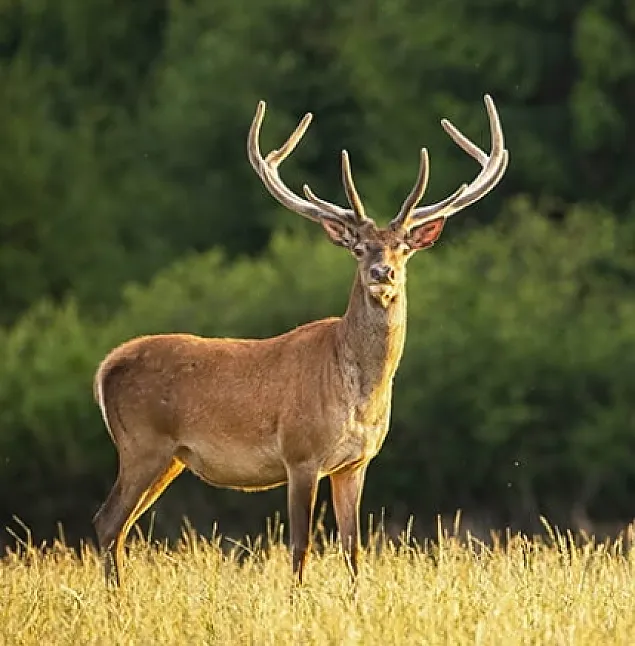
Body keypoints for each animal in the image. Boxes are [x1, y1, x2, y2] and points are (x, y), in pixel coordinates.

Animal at [92, 95, 510, 588]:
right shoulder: (300, 454)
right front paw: (296, 598)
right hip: (142, 443)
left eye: (403, 248)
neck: (358, 395)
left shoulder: (355, 463)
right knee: (107, 521)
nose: (382, 273)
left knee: (120, 526)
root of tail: (106, 367)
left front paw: (356, 598)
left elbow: (353, 548)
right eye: (359, 248)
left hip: (170, 457)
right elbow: (300, 546)